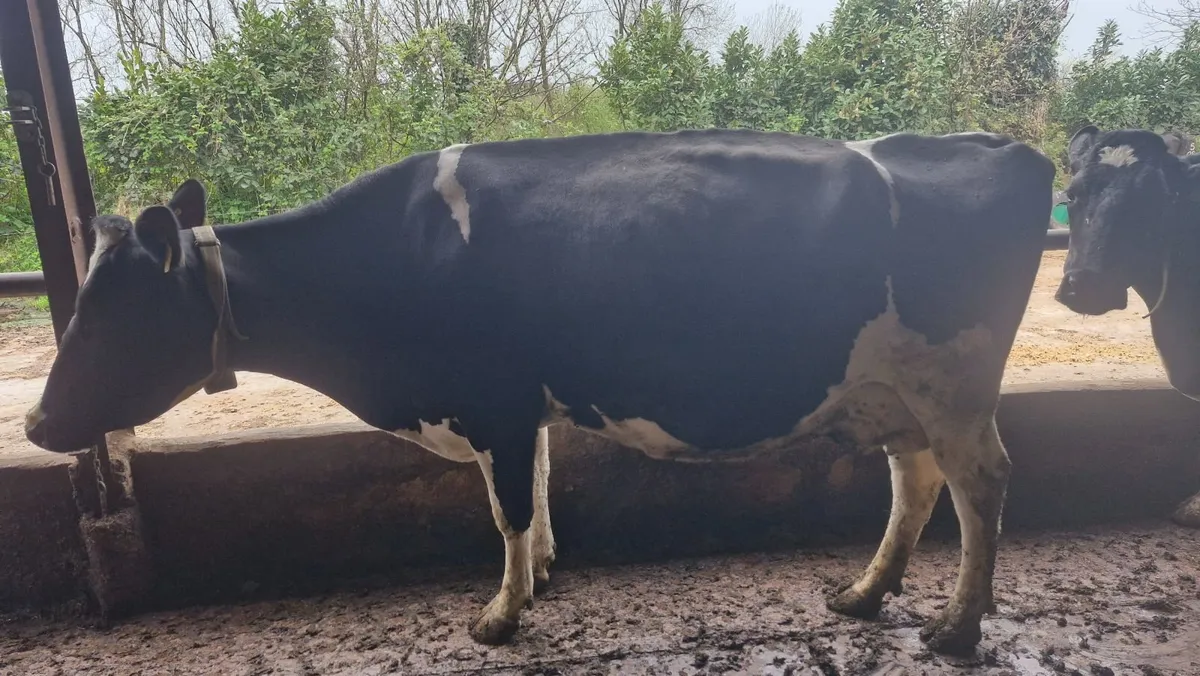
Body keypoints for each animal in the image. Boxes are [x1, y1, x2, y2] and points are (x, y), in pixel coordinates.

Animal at [24, 128, 1055, 654]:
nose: (35, 421)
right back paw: (865, 596)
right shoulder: (524, 408)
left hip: (953, 386)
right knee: (917, 484)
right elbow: (544, 487)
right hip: (897, 393)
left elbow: (507, 507)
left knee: (983, 486)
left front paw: (502, 614)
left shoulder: (496, 402)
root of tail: (999, 144)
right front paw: (547, 574)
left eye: (109, 317)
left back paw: (957, 626)